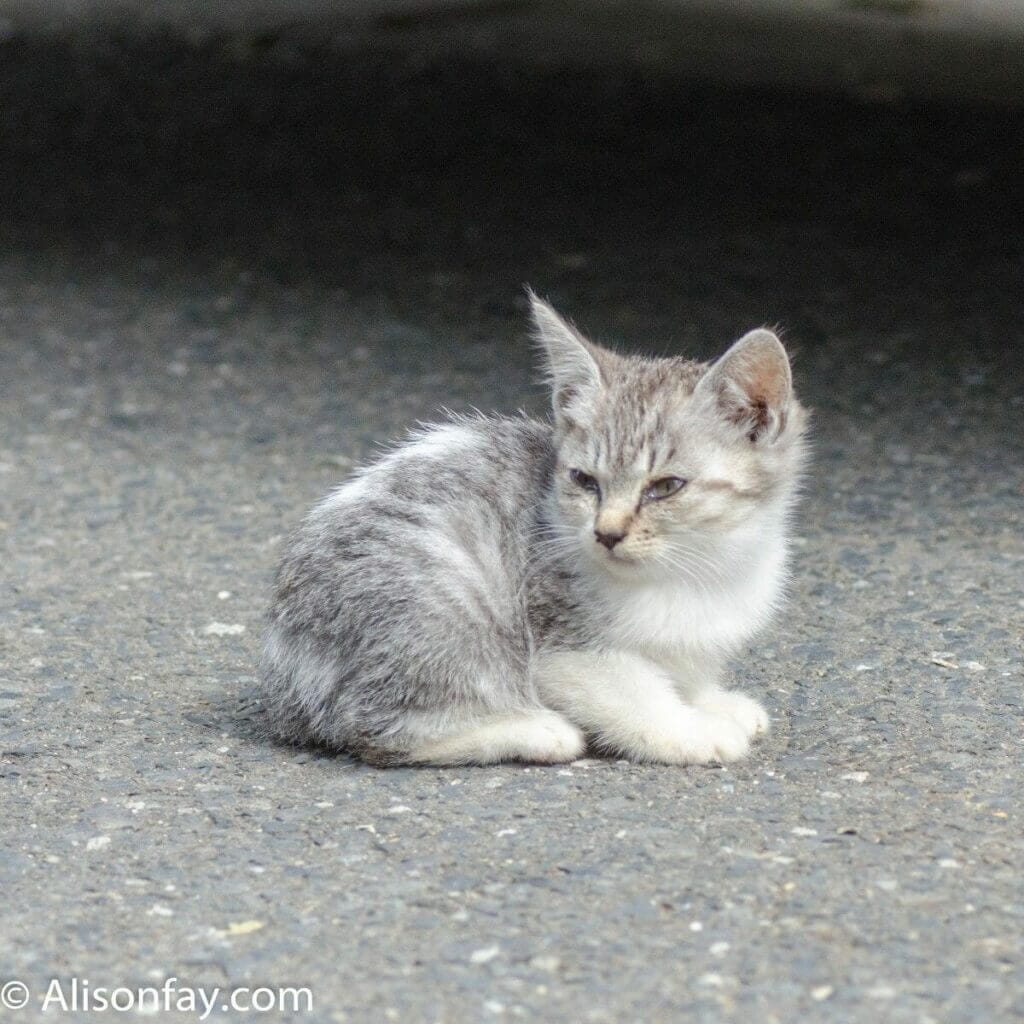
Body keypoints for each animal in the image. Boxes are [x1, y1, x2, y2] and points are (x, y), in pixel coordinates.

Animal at [262, 292, 806, 765]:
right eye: (584, 480)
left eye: (666, 487)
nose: (606, 533)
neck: (705, 564)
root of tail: (288, 669)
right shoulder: (563, 642)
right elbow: (630, 693)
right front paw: (691, 729)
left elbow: (684, 674)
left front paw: (710, 701)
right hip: (440, 602)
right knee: (373, 727)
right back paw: (533, 730)